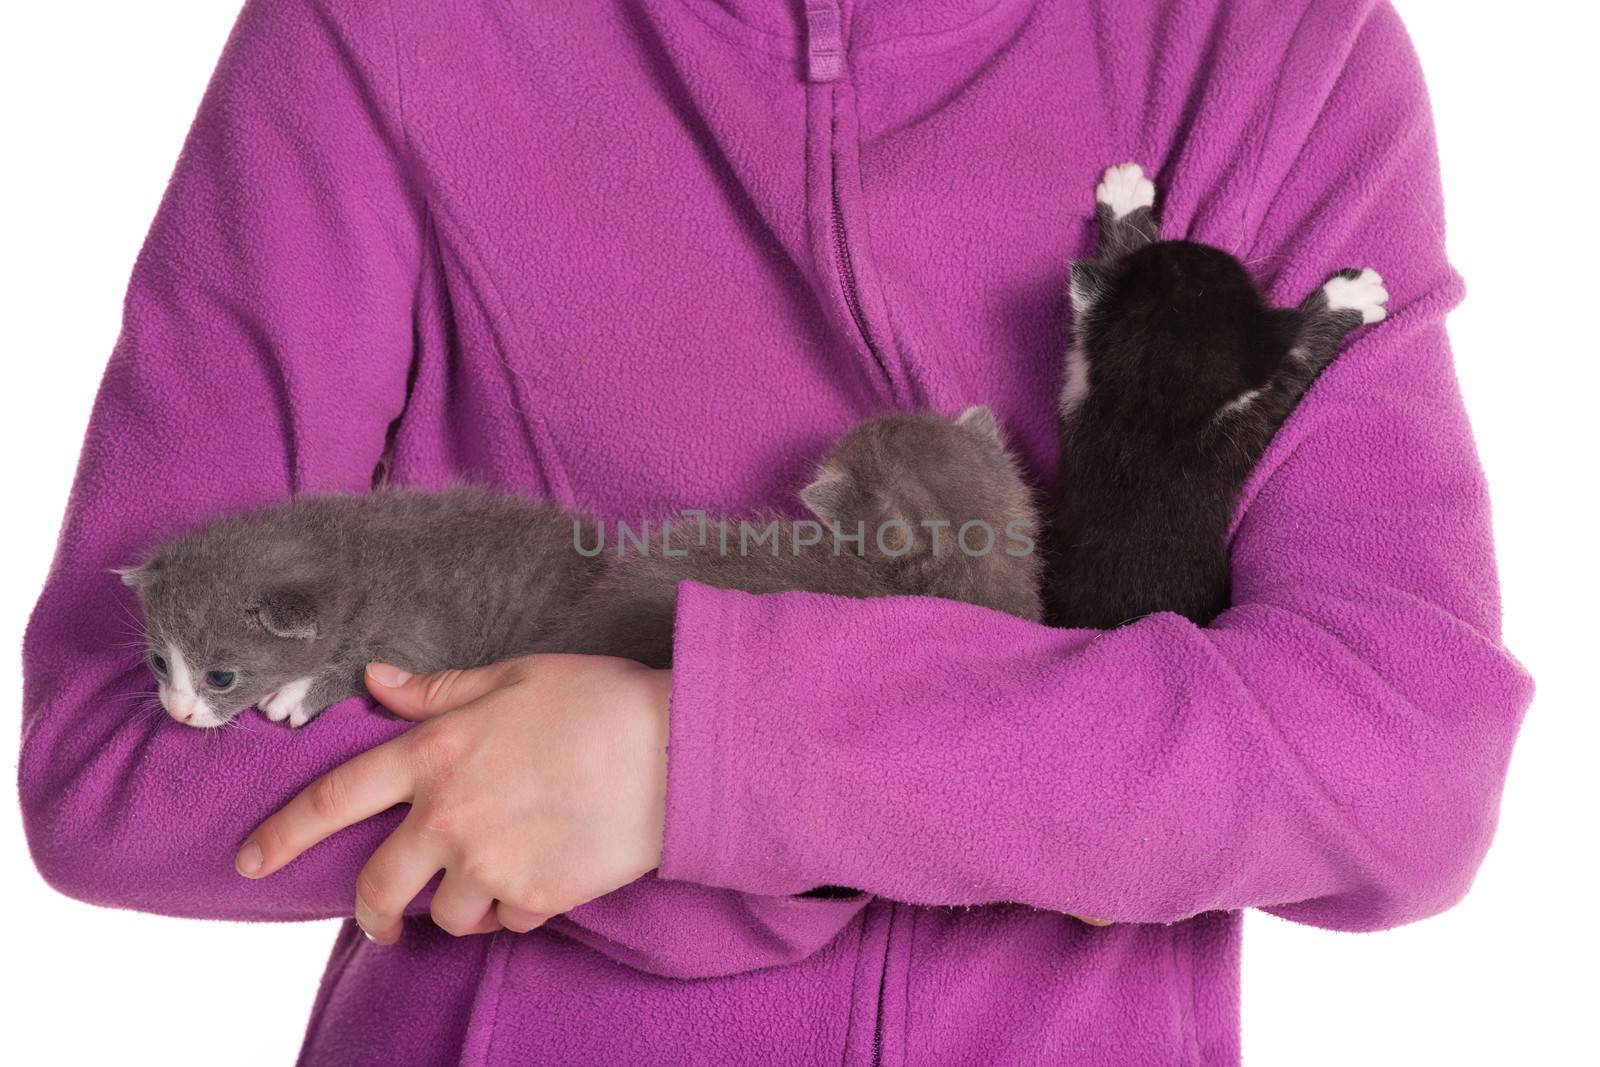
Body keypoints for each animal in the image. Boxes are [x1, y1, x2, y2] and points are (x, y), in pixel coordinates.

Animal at [1049, 163, 1388, 630]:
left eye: (1172, 253)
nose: (1193, 242)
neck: (1153, 409)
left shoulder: (1082, 385)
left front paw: (1124, 202)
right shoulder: (1248, 417)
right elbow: (1300, 355)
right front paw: (1347, 297)